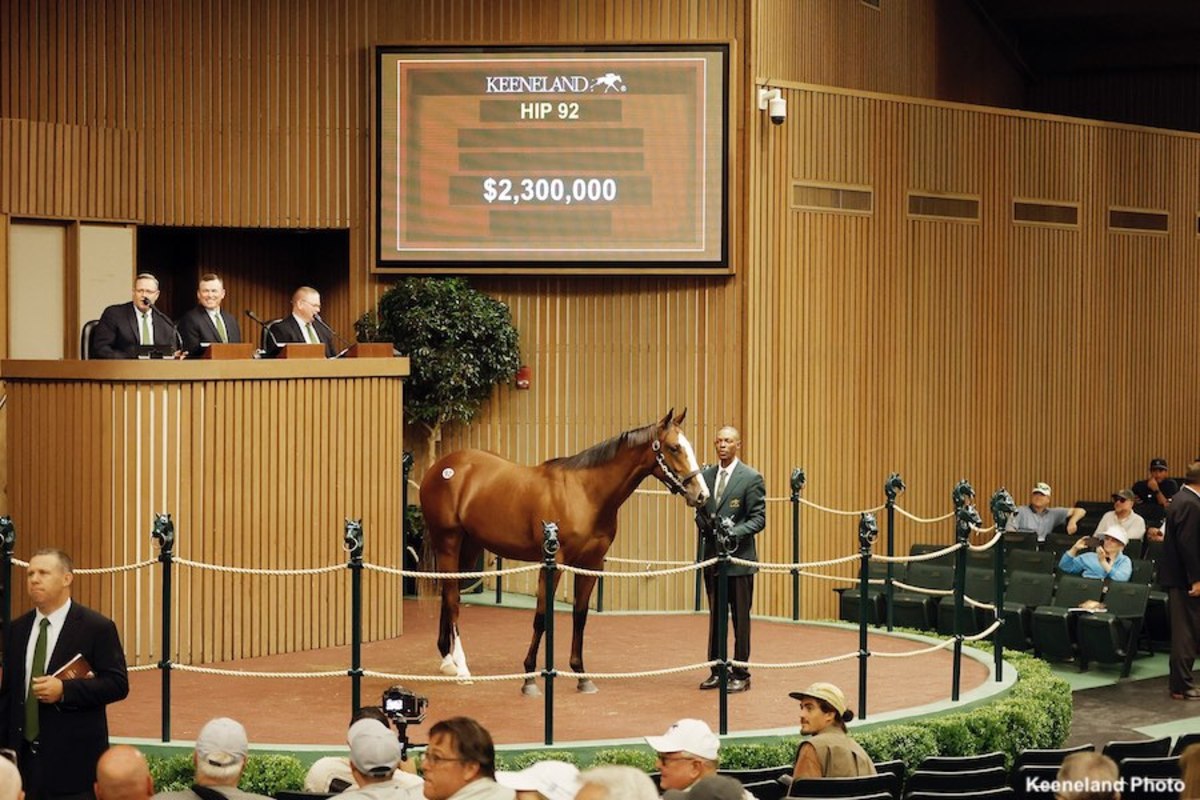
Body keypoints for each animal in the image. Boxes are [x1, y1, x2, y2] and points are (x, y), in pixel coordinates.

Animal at [420, 410, 705, 690]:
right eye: (674, 447)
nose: (701, 494)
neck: (586, 494)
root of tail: (440, 467)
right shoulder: (553, 564)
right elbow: (542, 617)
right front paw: (529, 674)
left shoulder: (591, 564)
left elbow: (580, 616)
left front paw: (581, 674)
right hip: (448, 542)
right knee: (453, 600)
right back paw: (462, 668)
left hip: (468, 549)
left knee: (449, 594)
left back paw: (448, 660)